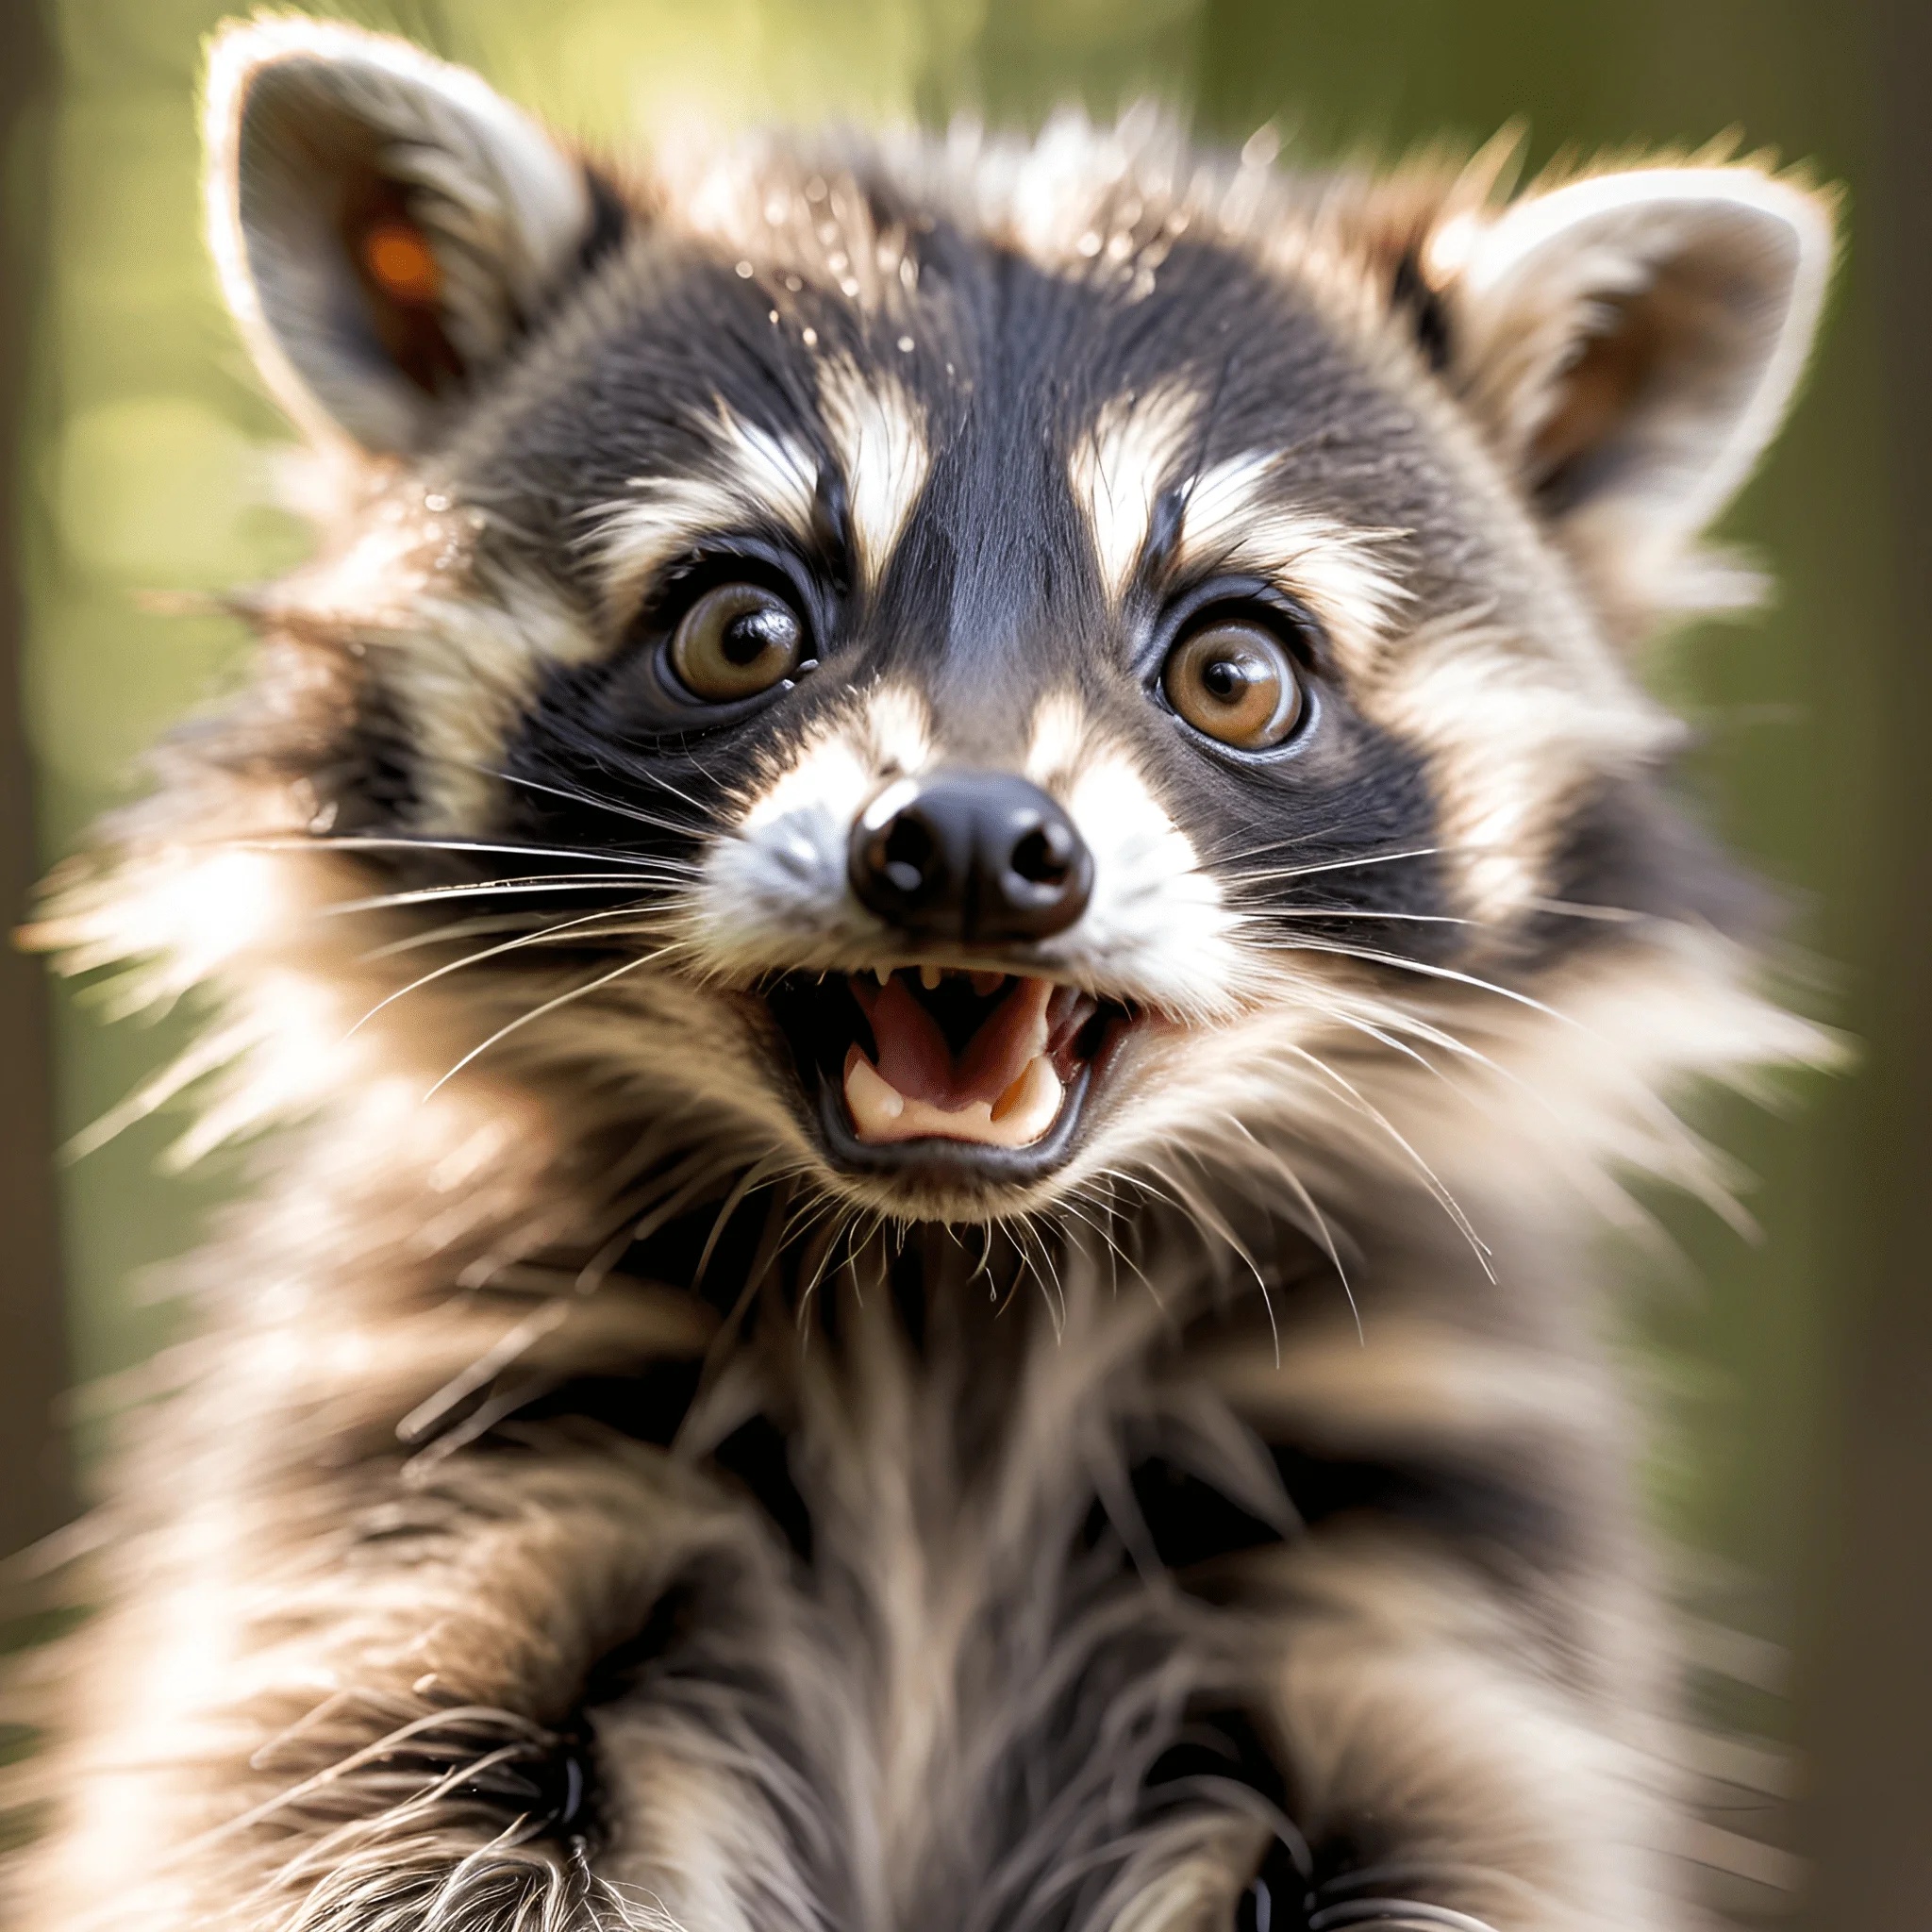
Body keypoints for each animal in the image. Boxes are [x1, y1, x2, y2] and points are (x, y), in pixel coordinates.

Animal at [9, 16, 1835, 1932]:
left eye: (1237, 671)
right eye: (737, 629)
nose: (964, 842)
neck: (947, 1288)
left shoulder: (1408, 1549)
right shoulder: (429, 1485)